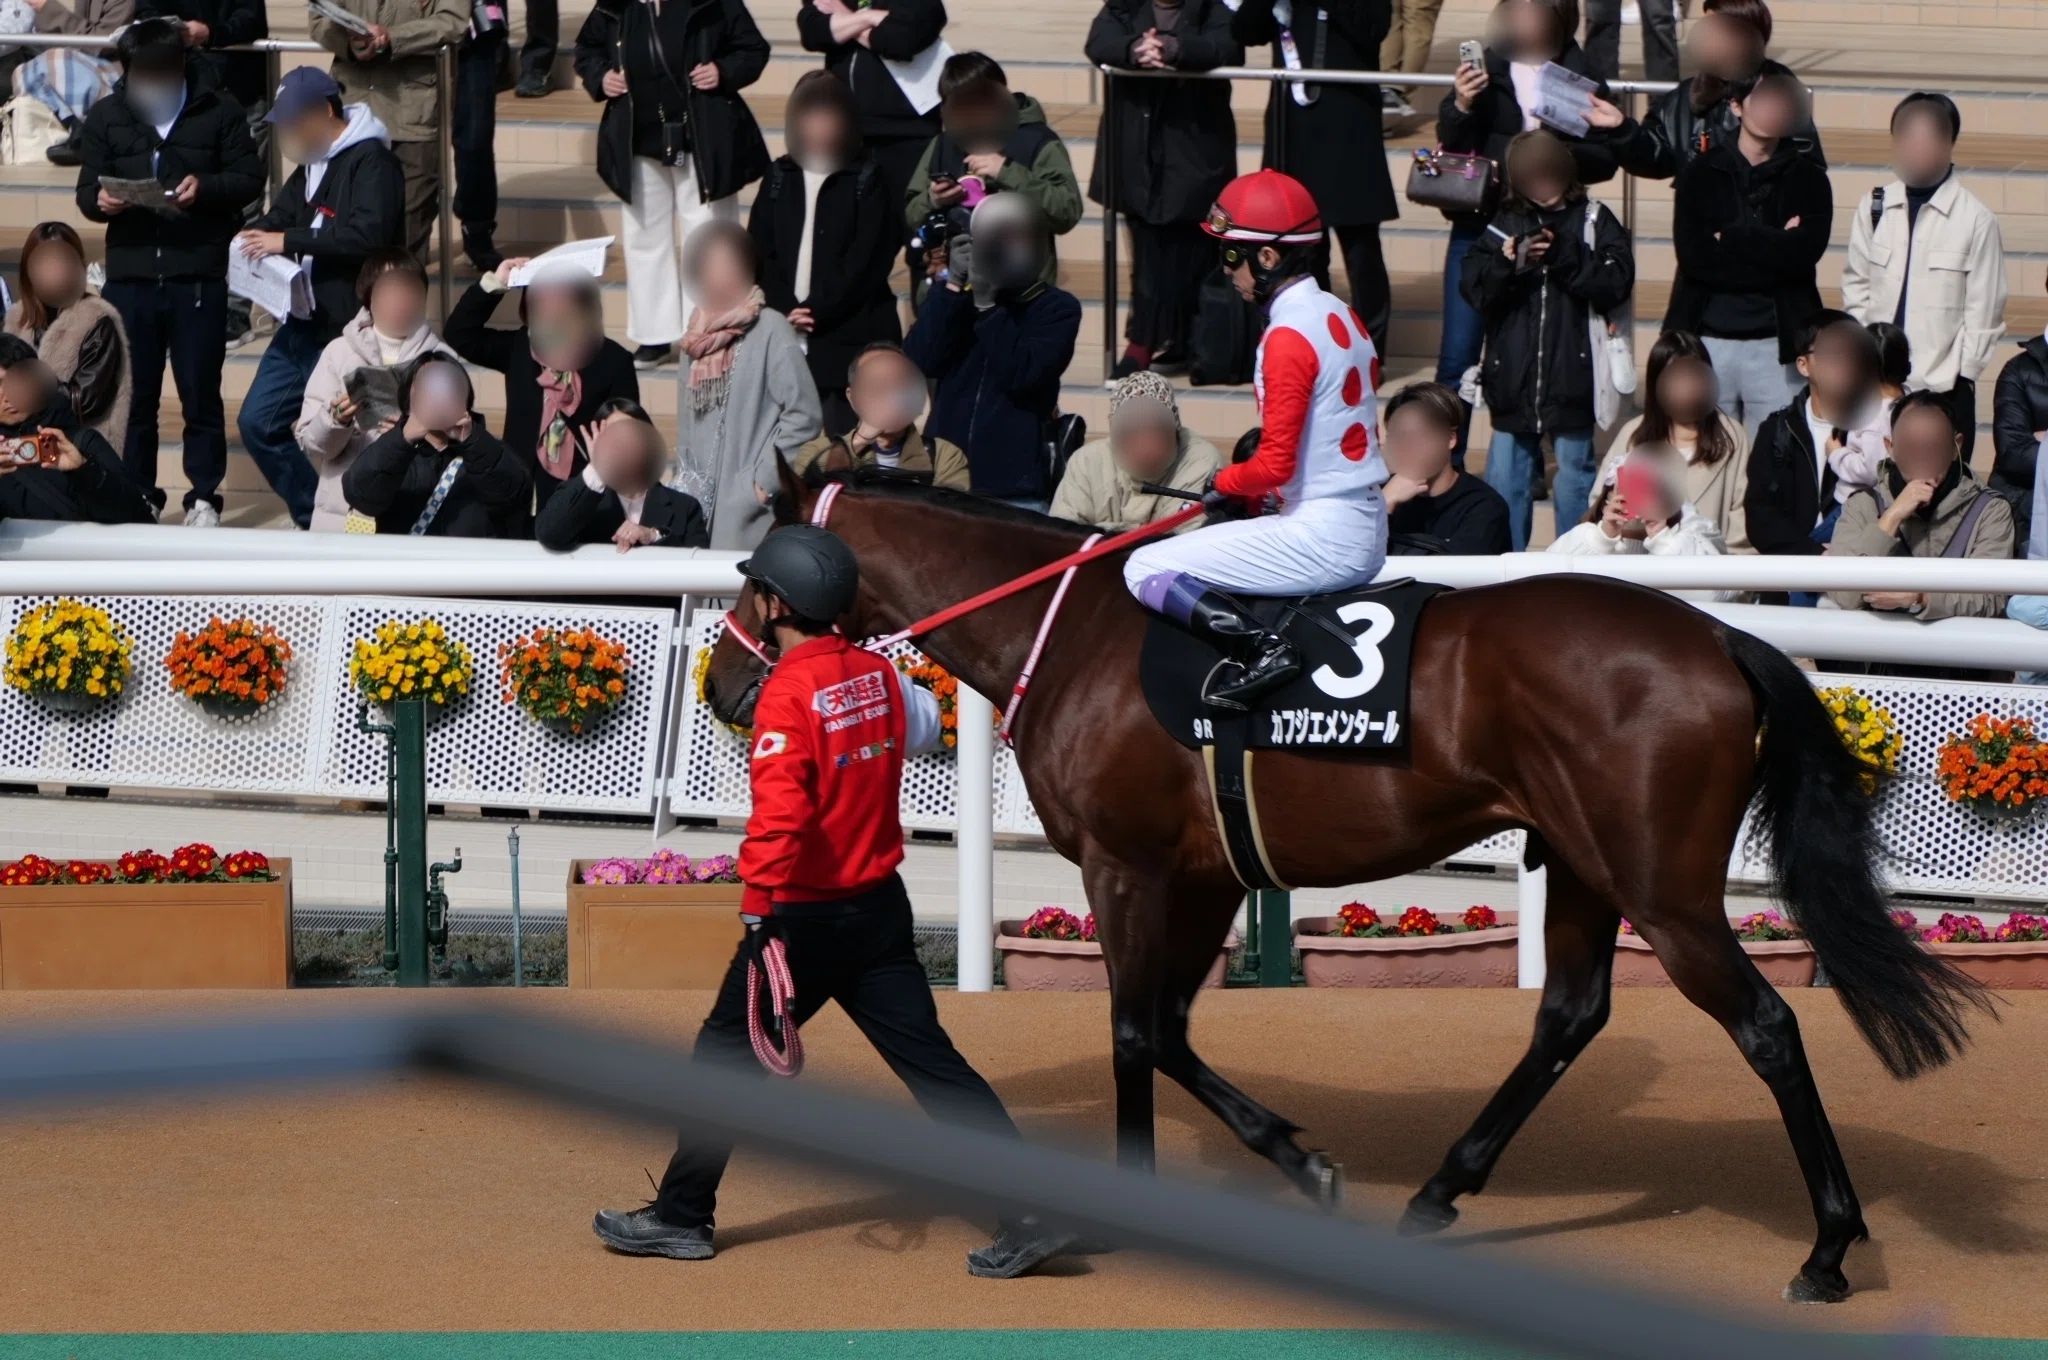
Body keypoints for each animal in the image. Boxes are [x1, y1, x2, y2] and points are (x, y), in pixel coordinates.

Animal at [701, 463, 1988, 1304]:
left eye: (751, 569)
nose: (721, 682)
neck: (1070, 636)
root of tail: (1718, 639)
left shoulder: (1124, 865)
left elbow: (1132, 1032)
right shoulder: (1204, 872)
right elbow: (1169, 1031)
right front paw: (1298, 1161)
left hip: (1659, 887)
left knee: (1765, 1023)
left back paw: (1826, 1247)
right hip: (1580, 863)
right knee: (1570, 1013)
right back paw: (1437, 1193)